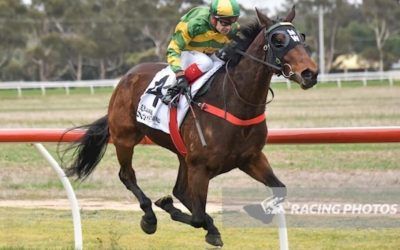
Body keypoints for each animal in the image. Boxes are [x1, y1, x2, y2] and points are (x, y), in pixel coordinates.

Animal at [63, 6, 318, 247]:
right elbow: (196, 217)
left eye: (301, 38)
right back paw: (149, 217)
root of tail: (126, 77)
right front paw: (170, 208)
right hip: (125, 138)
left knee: (179, 190)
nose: (310, 73)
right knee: (128, 175)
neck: (234, 102)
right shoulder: (200, 167)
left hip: (181, 154)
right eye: (278, 40)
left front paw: (255, 212)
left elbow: (280, 189)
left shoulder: (251, 158)